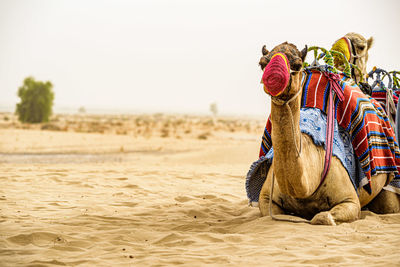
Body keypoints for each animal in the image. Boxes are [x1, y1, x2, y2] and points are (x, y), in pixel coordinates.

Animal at [258, 42, 398, 226]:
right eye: (262, 64)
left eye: (297, 64)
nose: (273, 76)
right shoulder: (266, 198)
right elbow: (273, 215)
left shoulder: (350, 200)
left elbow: (322, 217)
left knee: (390, 206)